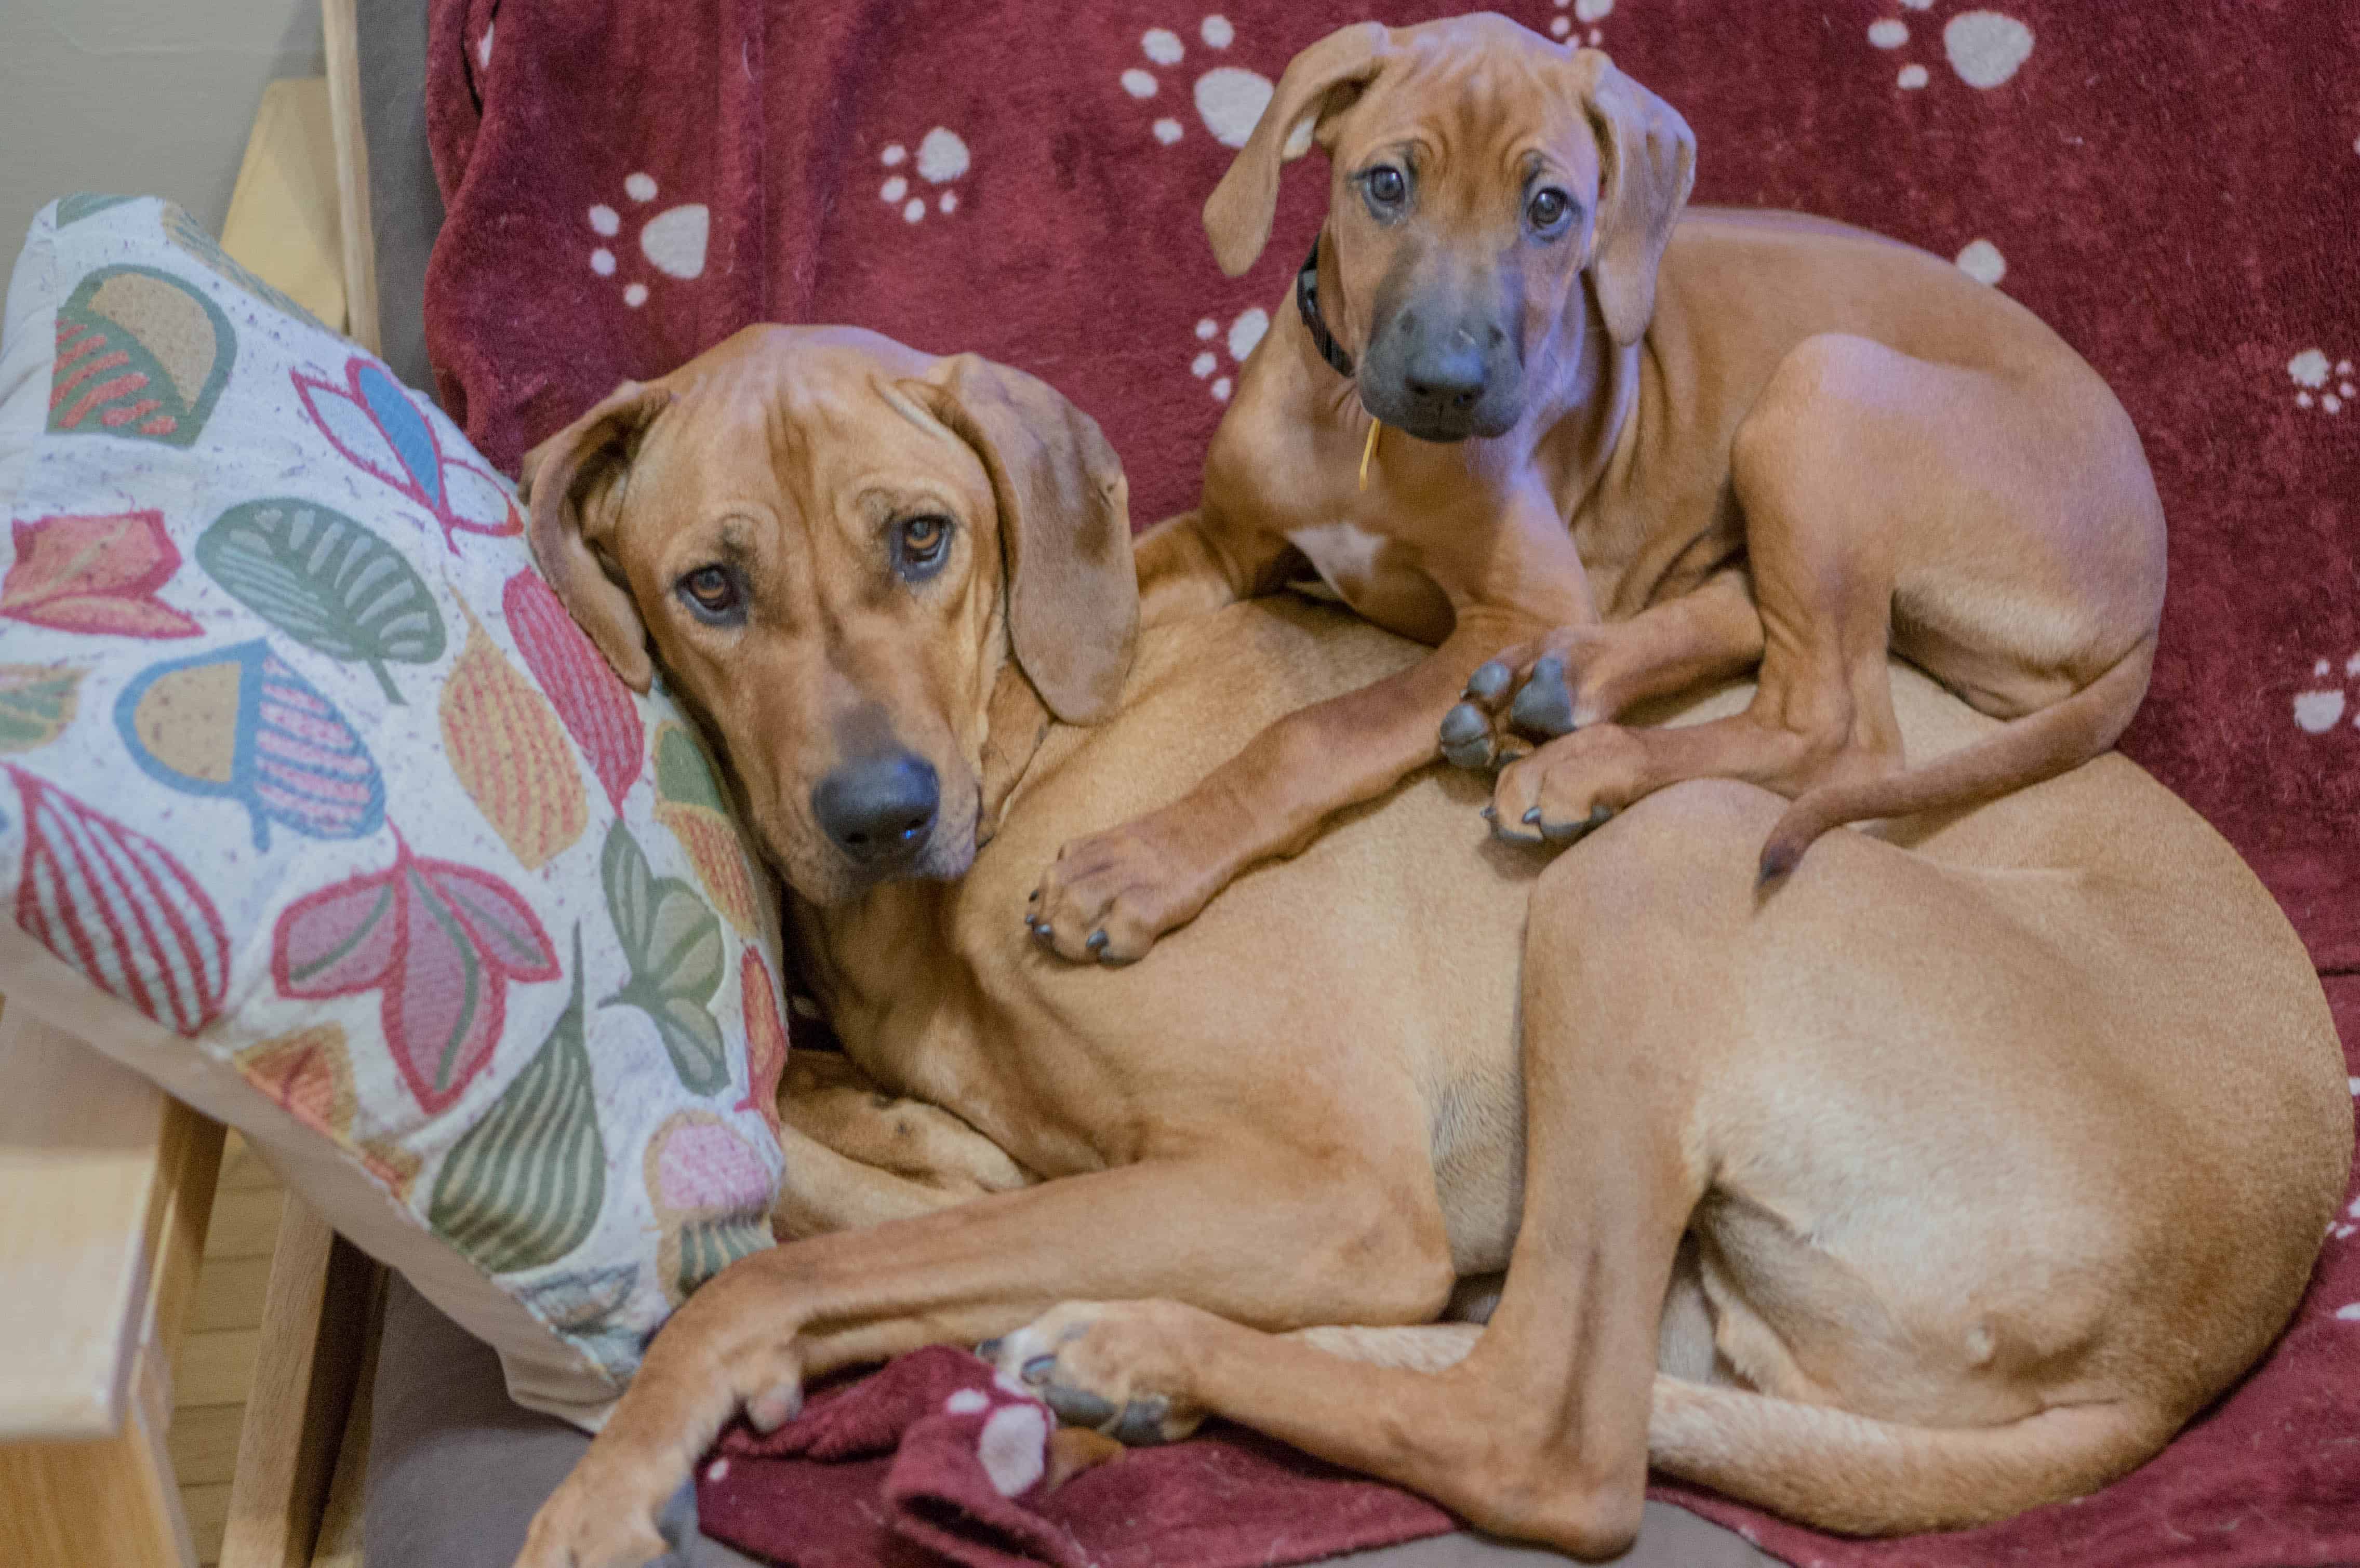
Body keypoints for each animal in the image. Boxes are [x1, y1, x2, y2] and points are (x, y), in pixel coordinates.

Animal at [502, 328, 2341, 1565]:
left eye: (919, 537)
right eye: (709, 588)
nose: (878, 813)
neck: (1025, 747)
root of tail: (2203, 1338)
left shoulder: (1325, 1183)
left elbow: (788, 1263)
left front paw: (617, 1470)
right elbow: (857, 1181)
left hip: (1654, 865)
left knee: (1549, 1436)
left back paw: (1140, 1348)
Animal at [1024, 15, 2162, 967]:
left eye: (1548, 207)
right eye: (1385, 184)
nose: (1447, 385)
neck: (1360, 434)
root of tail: (2147, 604)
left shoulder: (1518, 605)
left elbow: (1314, 733)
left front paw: (1139, 863)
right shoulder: (1226, 542)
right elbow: (1103, 587)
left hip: (1823, 385)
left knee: (1837, 727)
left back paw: (1571, 760)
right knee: (1752, 625)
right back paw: (1546, 697)